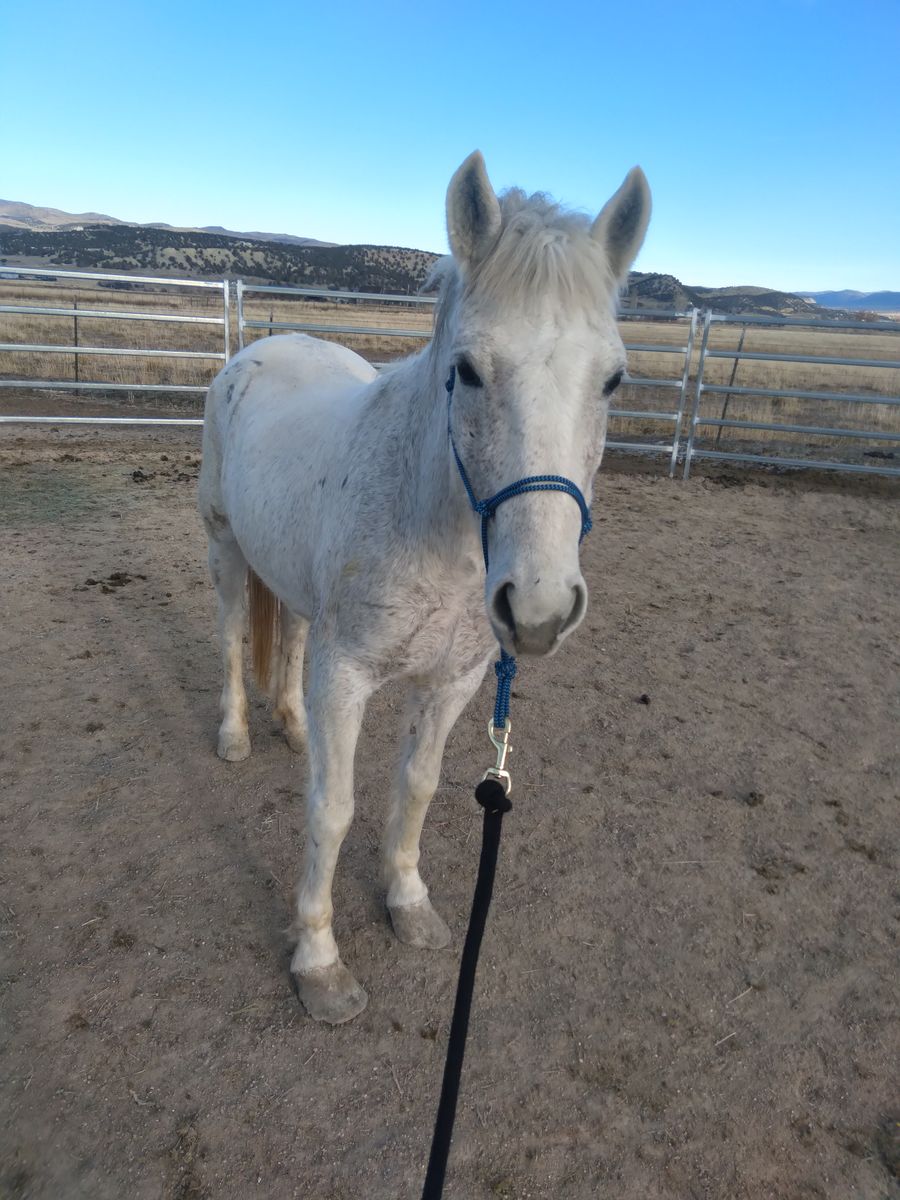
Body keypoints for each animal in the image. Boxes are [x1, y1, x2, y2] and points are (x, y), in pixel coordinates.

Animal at [198, 151, 650, 1023]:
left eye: (613, 379)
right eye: (466, 370)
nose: (538, 606)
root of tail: (261, 351)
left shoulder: (455, 681)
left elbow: (416, 788)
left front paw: (408, 905)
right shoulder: (346, 675)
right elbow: (332, 809)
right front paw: (318, 963)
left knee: (289, 636)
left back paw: (290, 726)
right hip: (227, 547)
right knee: (234, 636)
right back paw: (236, 734)